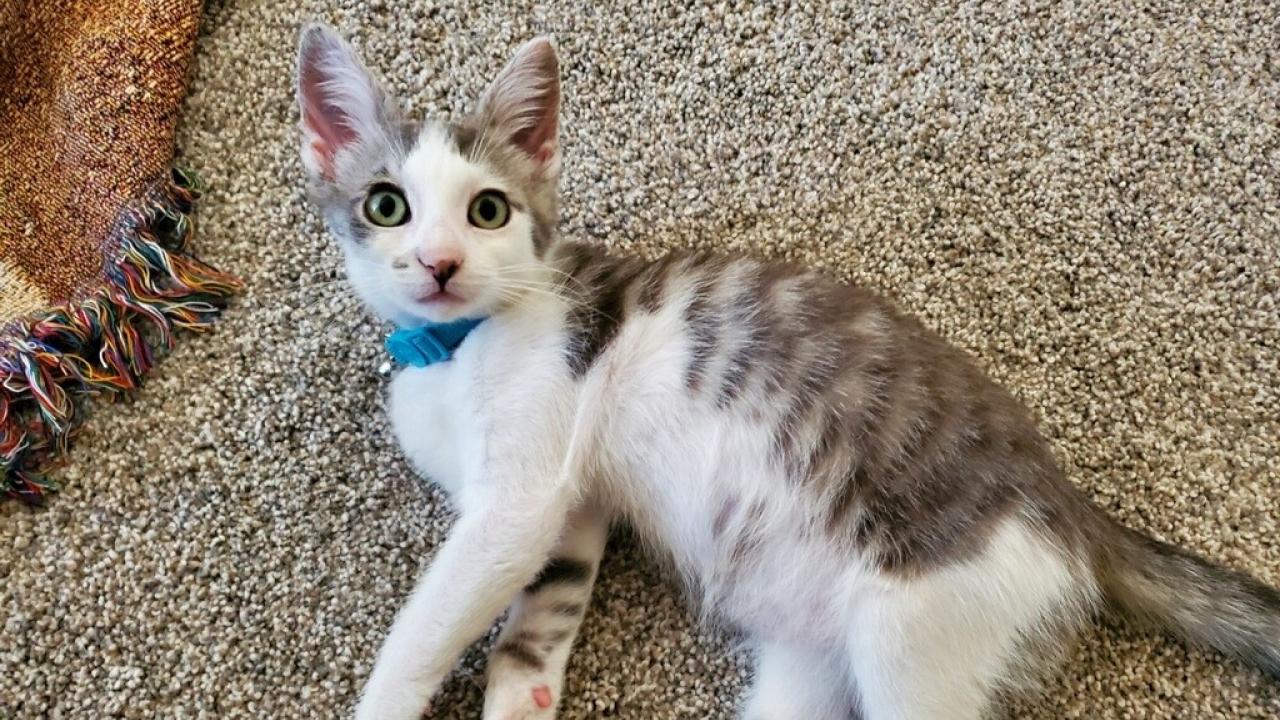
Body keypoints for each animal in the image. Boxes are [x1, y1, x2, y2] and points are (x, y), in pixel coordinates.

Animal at [294, 22, 1280, 717]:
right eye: (387, 206)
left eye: (488, 210)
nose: (439, 263)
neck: (451, 348)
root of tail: (1070, 505)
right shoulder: (568, 511)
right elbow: (539, 618)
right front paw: (526, 689)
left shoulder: (521, 493)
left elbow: (427, 621)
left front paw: (385, 700)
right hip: (815, 650)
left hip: (917, 632)